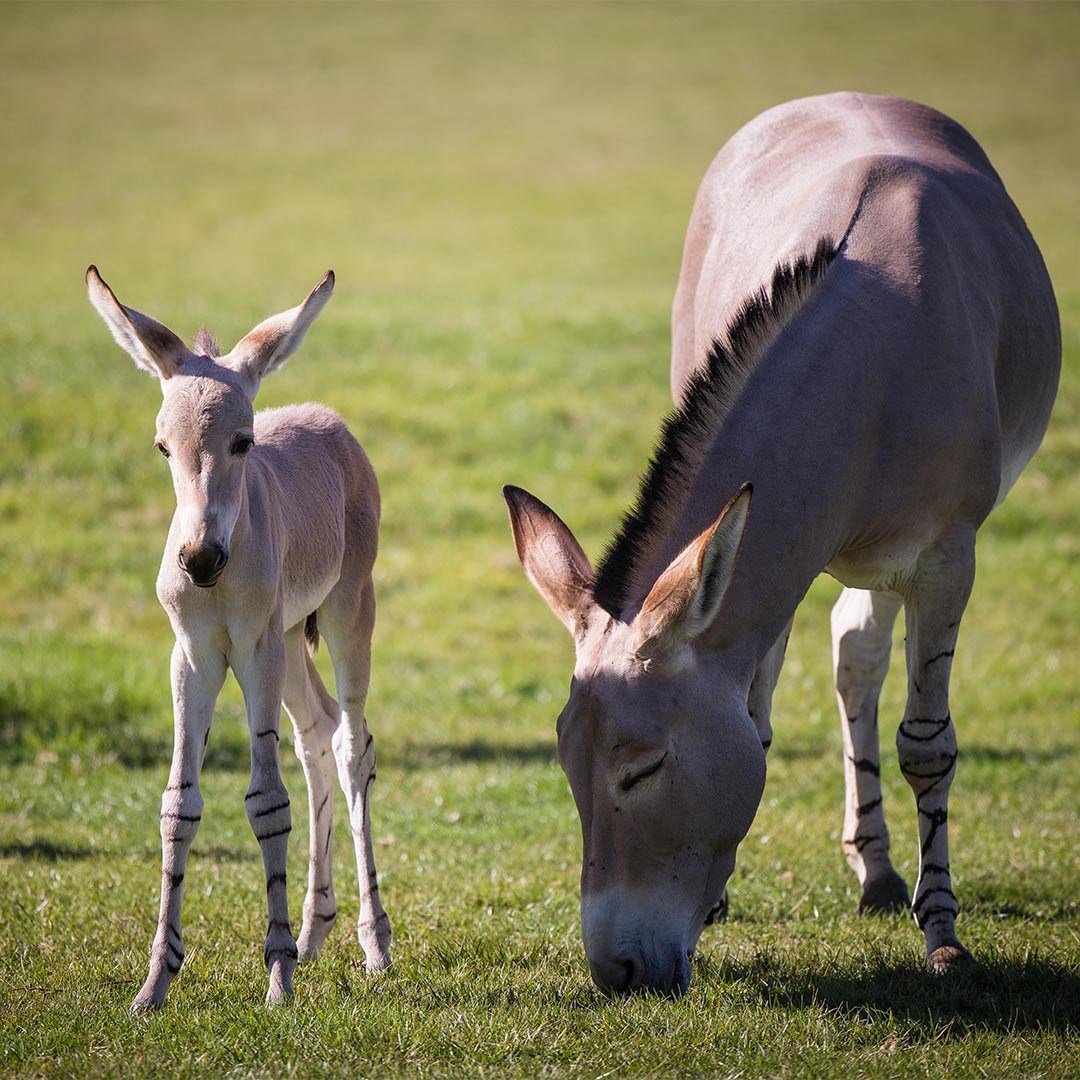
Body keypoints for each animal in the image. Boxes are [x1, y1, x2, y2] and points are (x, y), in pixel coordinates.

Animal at [87, 265, 393, 1006]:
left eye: (243, 443)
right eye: (163, 446)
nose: (199, 560)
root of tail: (328, 421)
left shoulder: (254, 651)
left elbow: (266, 801)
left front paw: (277, 978)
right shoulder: (194, 656)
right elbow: (179, 805)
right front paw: (154, 983)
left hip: (344, 614)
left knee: (352, 745)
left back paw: (373, 943)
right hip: (288, 643)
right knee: (316, 732)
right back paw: (315, 930)